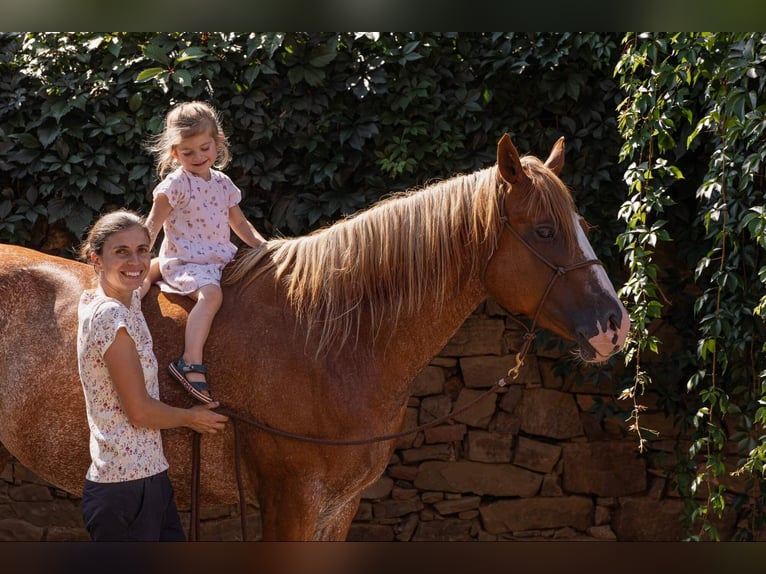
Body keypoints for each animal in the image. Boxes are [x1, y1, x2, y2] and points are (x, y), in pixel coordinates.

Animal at [0, 134, 629, 540]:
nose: (615, 325)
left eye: (580, 225)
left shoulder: (338, 508)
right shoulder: (292, 505)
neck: (329, 342)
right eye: (544, 231)